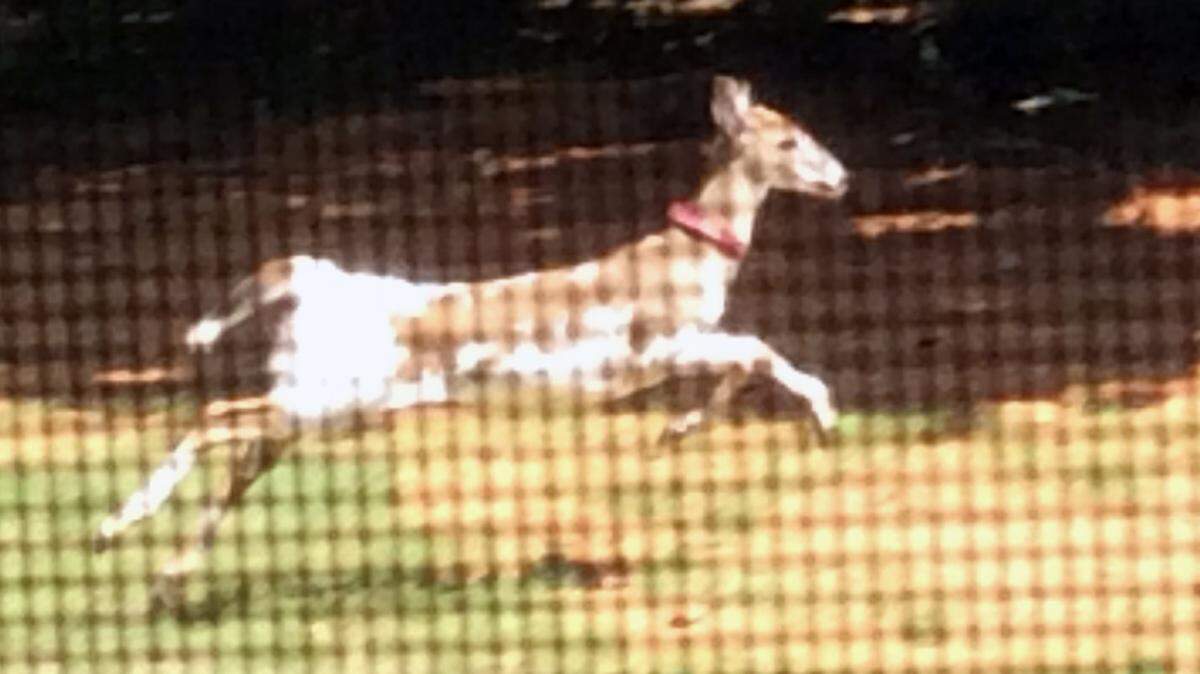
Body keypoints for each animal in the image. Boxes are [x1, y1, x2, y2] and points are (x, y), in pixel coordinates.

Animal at [91, 76, 849, 612]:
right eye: (789, 142)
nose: (841, 177)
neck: (694, 257)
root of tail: (308, 280)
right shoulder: (658, 343)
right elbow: (758, 350)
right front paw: (820, 417)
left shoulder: (676, 350)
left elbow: (744, 361)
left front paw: (675, 430)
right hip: (328, 397)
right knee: (215, 416)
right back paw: (119, 524)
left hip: (319, 403)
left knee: (239, 457)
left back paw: (156, 577)